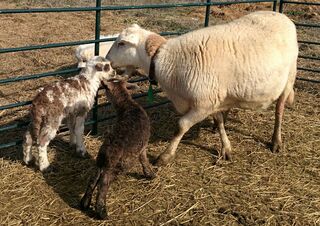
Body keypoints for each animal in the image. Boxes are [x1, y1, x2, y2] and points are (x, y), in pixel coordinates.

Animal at [80, 79, 155, 219]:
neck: (128, 106)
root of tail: (107, 152)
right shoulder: (143, 146)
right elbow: (144, 160)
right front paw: (150, 174)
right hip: (115, 167)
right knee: (103, 184)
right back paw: (101, 211)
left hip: (99, 163)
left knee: (93, 180)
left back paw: (85, 203)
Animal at [105, 11, 298, 166]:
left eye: (121, 44)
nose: (107, 61)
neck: (167, 60)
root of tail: (282, 16)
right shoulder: (212, 100)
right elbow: (219, 121)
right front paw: (226, 147)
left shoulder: (203, 104)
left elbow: (181, 126)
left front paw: (165, 157)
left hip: (288, 79)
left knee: (279, 111)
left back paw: (276, 141)